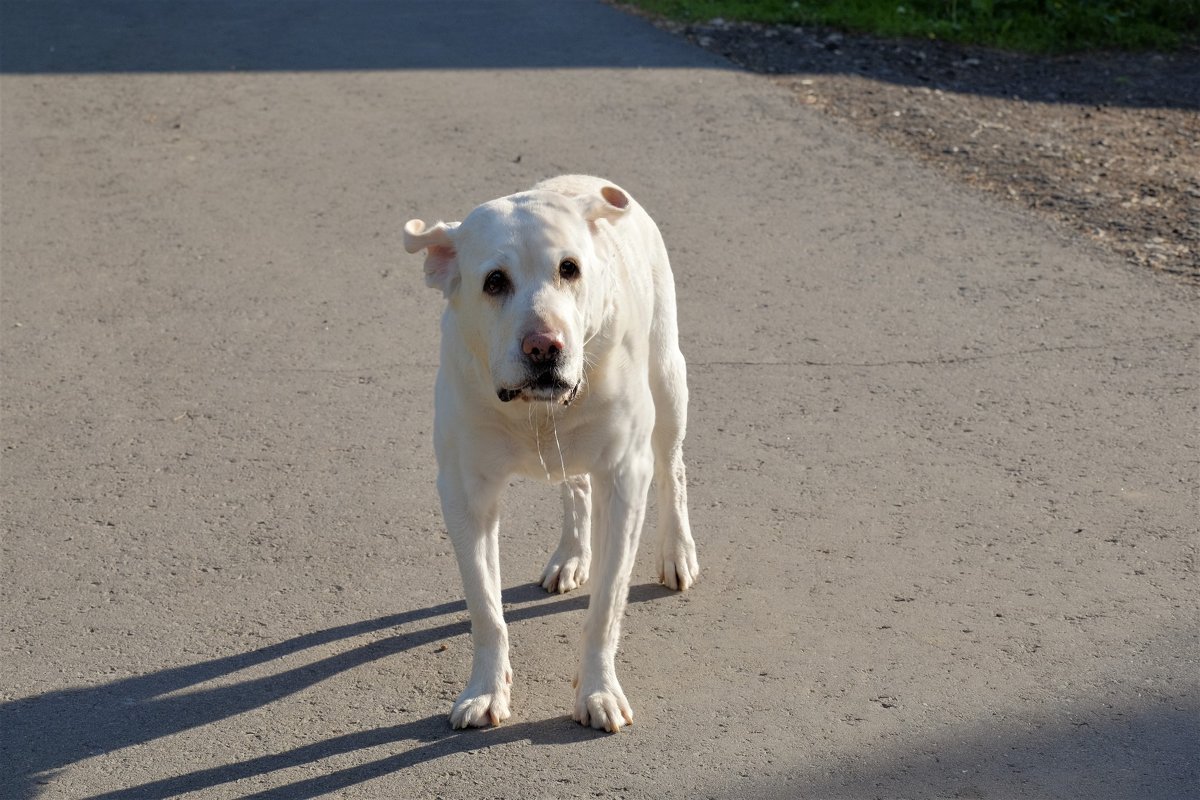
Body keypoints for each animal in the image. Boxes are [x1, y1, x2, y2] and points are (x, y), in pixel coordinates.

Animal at [408, 173, 700, 734]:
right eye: (494, 281)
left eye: (569, 269)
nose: (545, 347)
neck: (533, 414)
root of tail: (590, 182)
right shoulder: (464, 492)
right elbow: (485, 608)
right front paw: (486, 692)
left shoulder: (624, 479)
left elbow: (606, 605)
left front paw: (598, 692)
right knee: (575, 485)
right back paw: (571, 556)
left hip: (668, 381)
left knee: (672, 470)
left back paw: (677, 552)